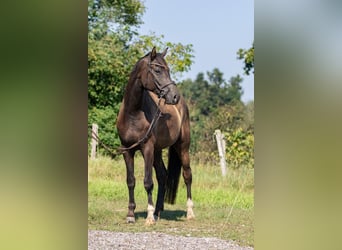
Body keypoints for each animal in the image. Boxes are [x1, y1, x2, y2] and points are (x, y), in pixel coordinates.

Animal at [116, 47, 194, 225]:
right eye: (157, 70)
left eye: (169, 70)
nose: (174, 96)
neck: (133, 113)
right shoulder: (127, 150)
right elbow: (131, 181)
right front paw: (131, 215)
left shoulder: (147, 148)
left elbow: (148, 182)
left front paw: (149, 216)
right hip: (157, 151)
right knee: (163, 175)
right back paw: (159, 211)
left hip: (182, 147)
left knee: (187, 175)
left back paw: (189, 212)